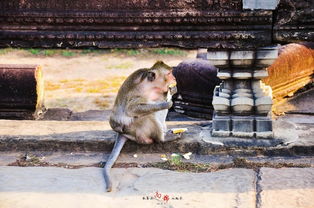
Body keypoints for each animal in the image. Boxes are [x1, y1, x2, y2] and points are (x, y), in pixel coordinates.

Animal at [104, 60, 179, 192]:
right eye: (169, 73)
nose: (174, 78)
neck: (151, 86)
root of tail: (122, 132)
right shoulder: (139, 93)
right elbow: (132, 109)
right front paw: (165, 103)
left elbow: (164, 94)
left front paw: (172, 90)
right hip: (133, 128)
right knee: (149, 115)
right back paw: (162, 138)